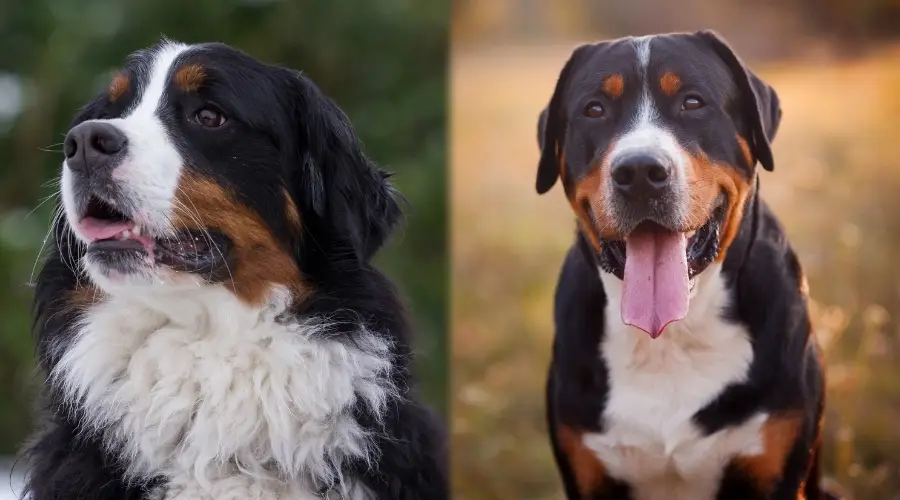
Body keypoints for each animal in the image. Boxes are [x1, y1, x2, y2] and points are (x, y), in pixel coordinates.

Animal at [536, 31, 836, 500]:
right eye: (595, 109)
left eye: (692, 103)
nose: (640, 171)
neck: (672, 337)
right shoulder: (588, 472)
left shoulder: (776, 469)